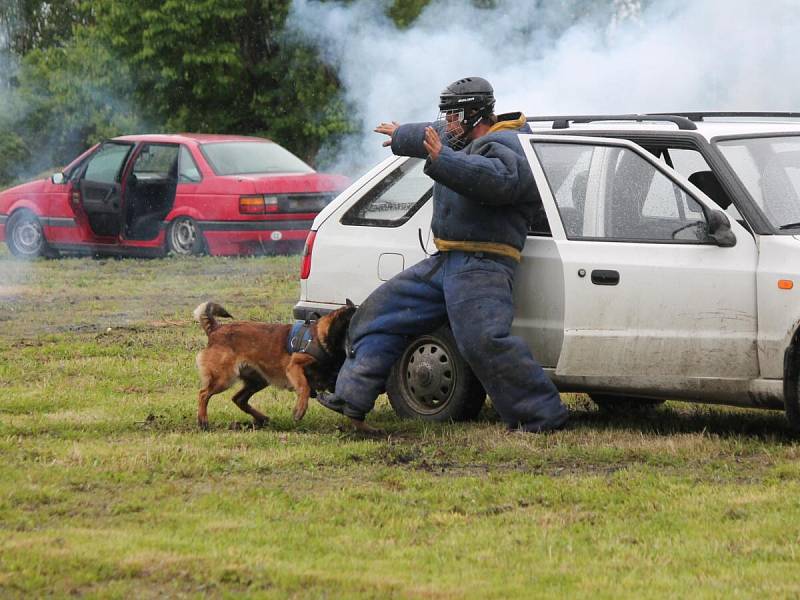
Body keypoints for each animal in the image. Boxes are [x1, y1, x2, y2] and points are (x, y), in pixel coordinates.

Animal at [192, 302, 358, 428]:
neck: (322, 338)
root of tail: (216, 329)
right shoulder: (294, 366)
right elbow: (304, 387)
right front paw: (300, 410)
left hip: (259, 380)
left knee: (238, 399)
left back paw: (262, 418)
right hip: (224, 379)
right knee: (203, 394)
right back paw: (203, 421)